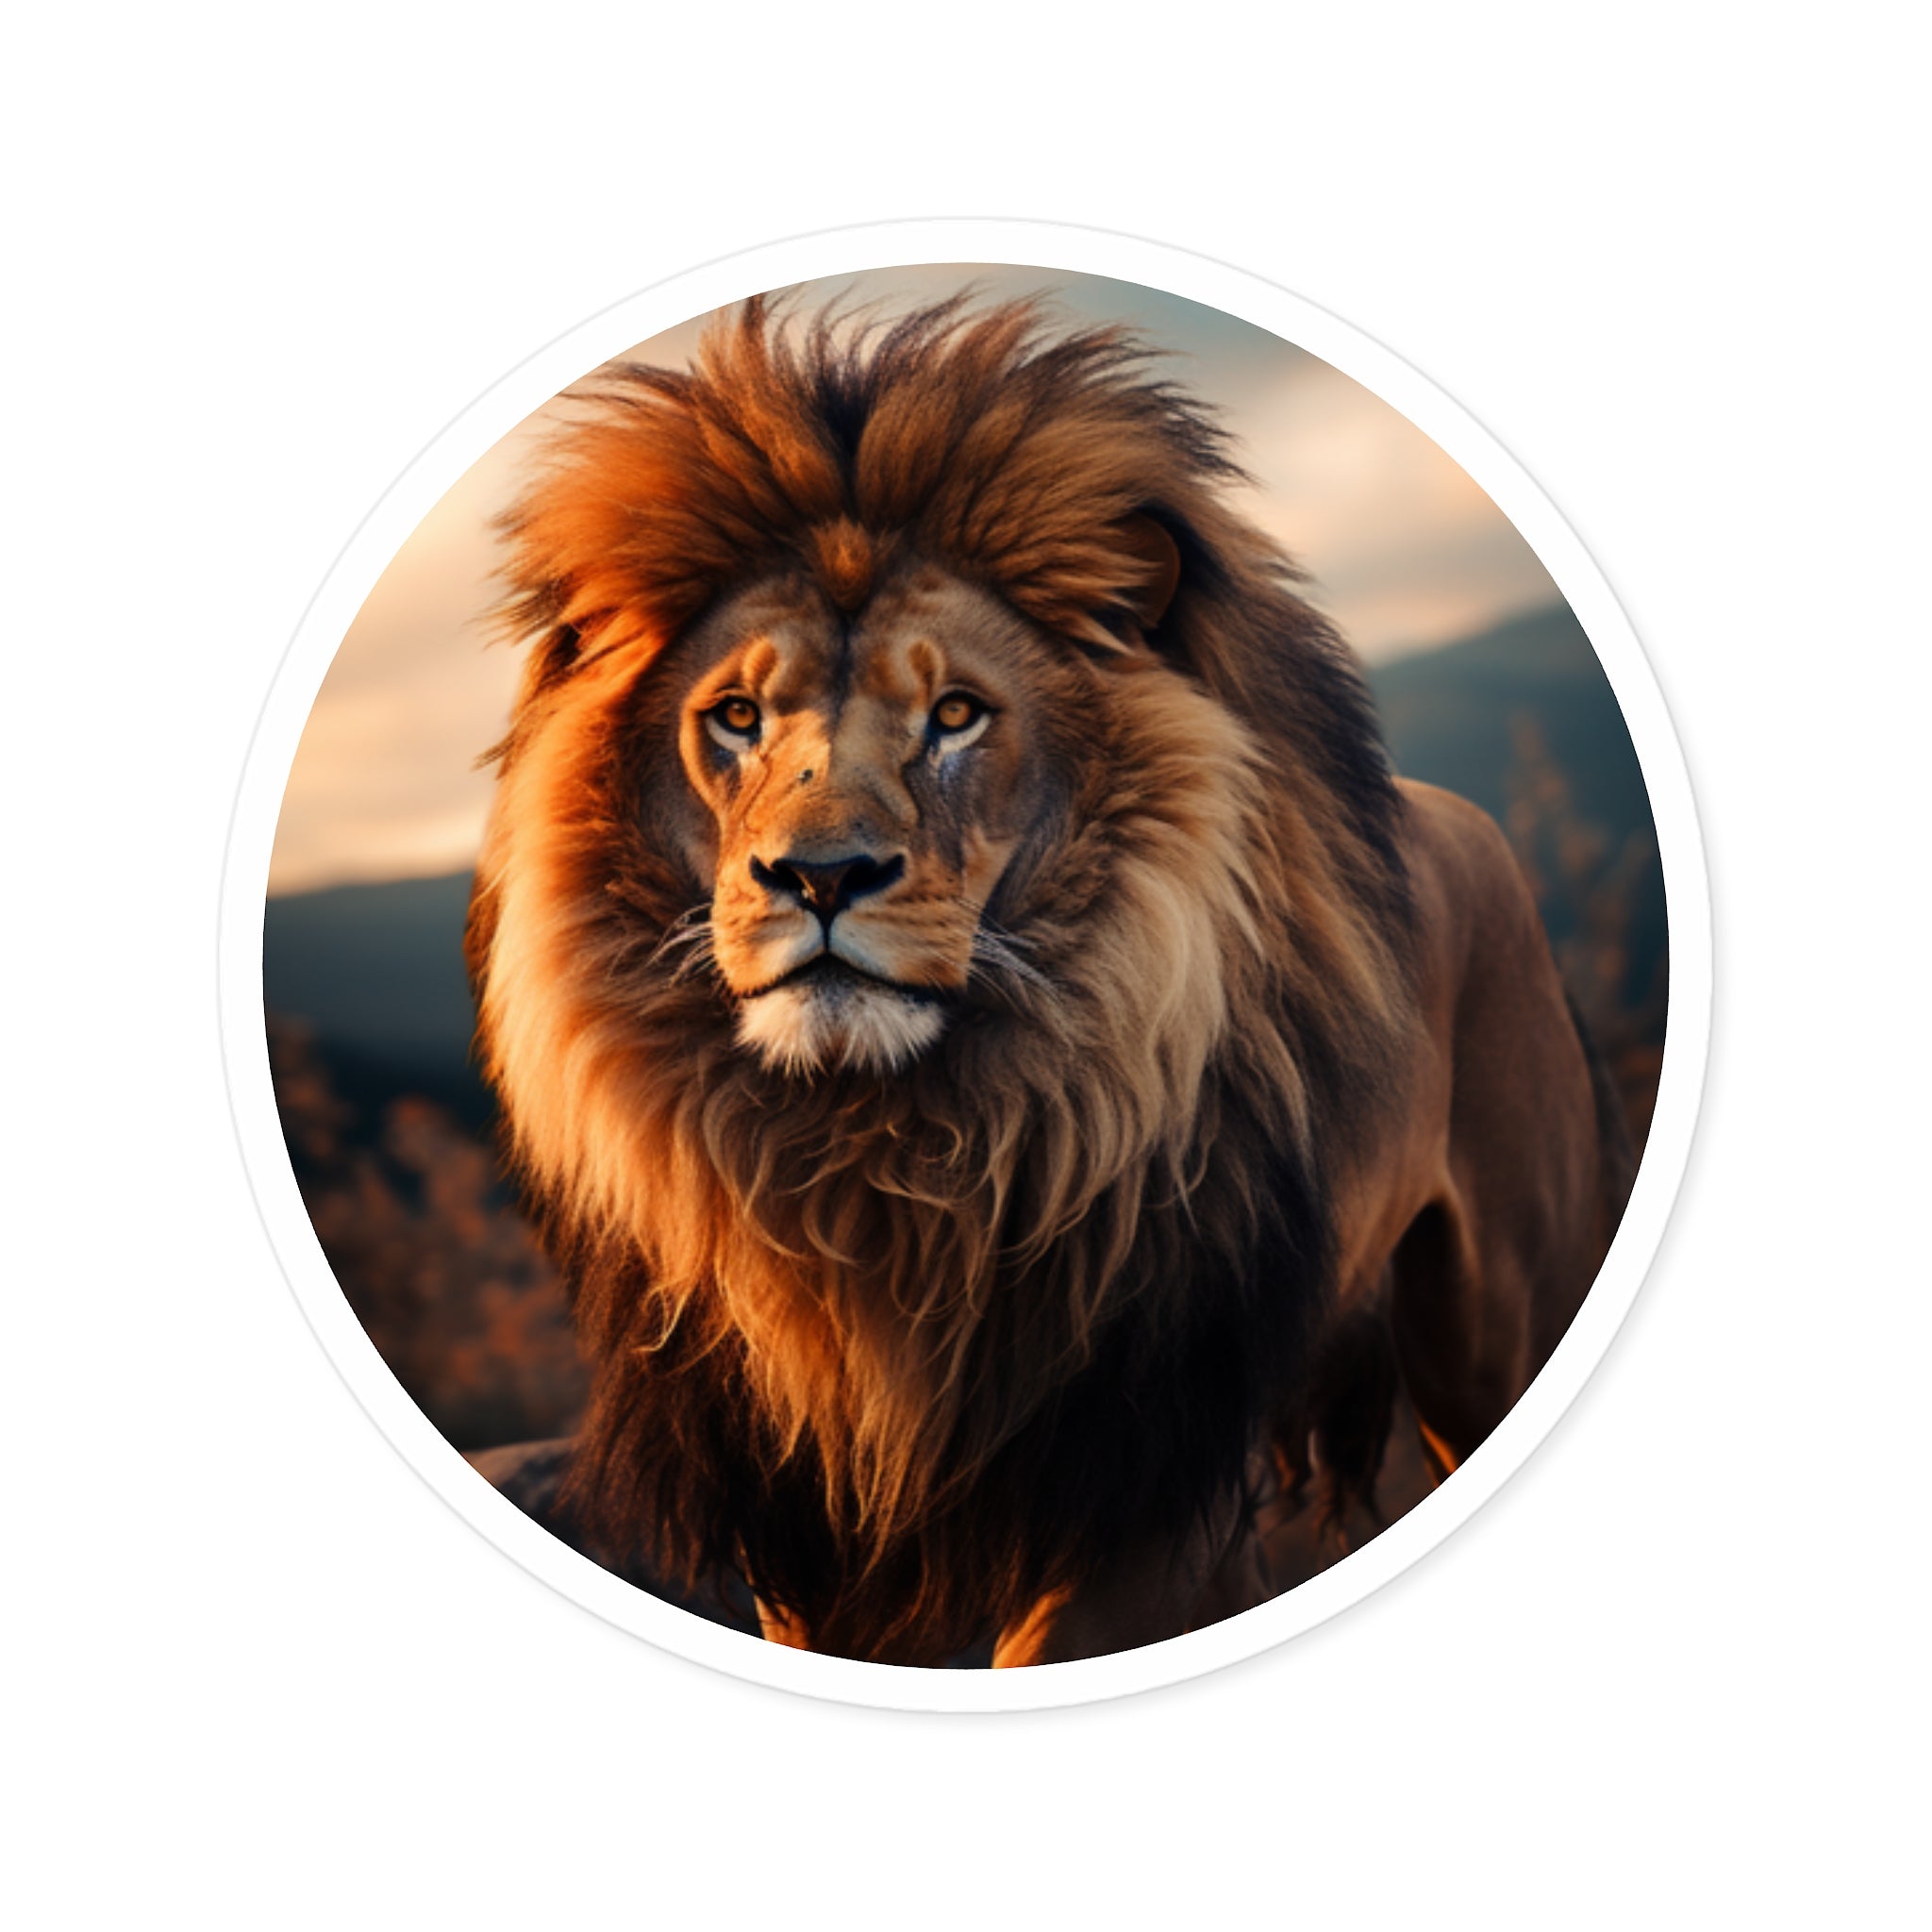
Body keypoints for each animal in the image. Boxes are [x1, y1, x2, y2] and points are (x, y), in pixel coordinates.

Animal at [464, 294, 1634, 1667]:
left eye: (958, 715)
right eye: (738, 717)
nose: (819, 876)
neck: (888, 1170)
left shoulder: (1134, 1482)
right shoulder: (809, 1517)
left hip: (1495, 1325)